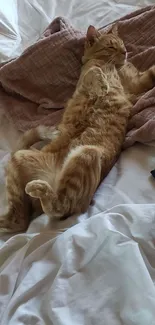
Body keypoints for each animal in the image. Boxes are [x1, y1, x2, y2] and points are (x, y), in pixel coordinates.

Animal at [0, 24, 155, 232]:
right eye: (111, 46)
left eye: (122, 44)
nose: (125, 52)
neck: (113, 66)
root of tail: (53, 178)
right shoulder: (88, 78)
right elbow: (94, 71)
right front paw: (103, 85)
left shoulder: (137, 84)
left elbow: (150, 73)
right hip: (38, 159)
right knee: (42, 213)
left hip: (81, 155)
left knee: (37, 215)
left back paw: (38, 190)